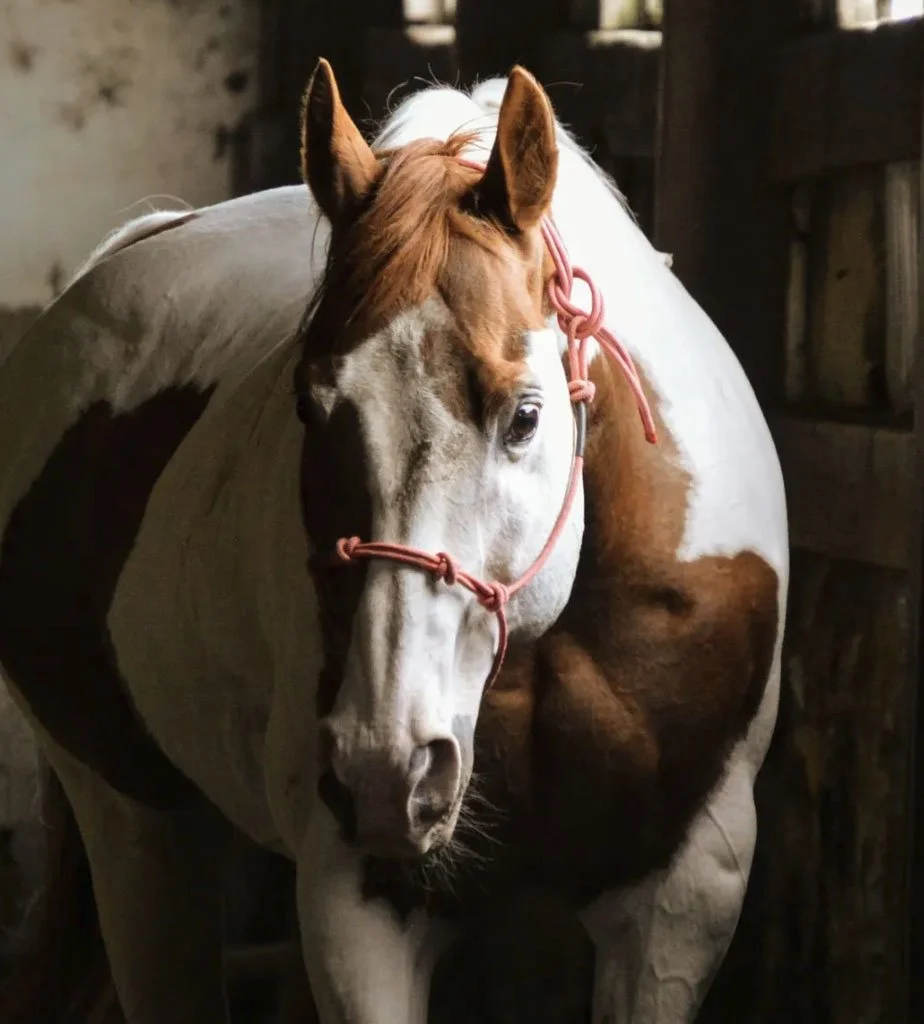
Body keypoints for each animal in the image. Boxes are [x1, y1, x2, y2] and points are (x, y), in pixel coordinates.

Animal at [0, 61, 788, 1023]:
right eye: (309, 405)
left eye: (525, 416)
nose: (389, 764)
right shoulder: (359, 906)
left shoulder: (684, 896)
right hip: (135, 826)